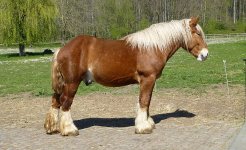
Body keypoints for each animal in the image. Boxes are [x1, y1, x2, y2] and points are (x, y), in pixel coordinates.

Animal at [43, 17, 208, 136]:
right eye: (198, 33)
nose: (205, 54)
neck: (152, 47)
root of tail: (62, 49)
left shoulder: (150, 81)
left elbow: (147, 102)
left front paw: (148, 123)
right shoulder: (147, 78)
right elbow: (144, 101)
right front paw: (143, 127)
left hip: (63, 84)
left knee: (55, 101)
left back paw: (52, 128)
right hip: (72, 83)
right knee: (65, 103)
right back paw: (69, 130)